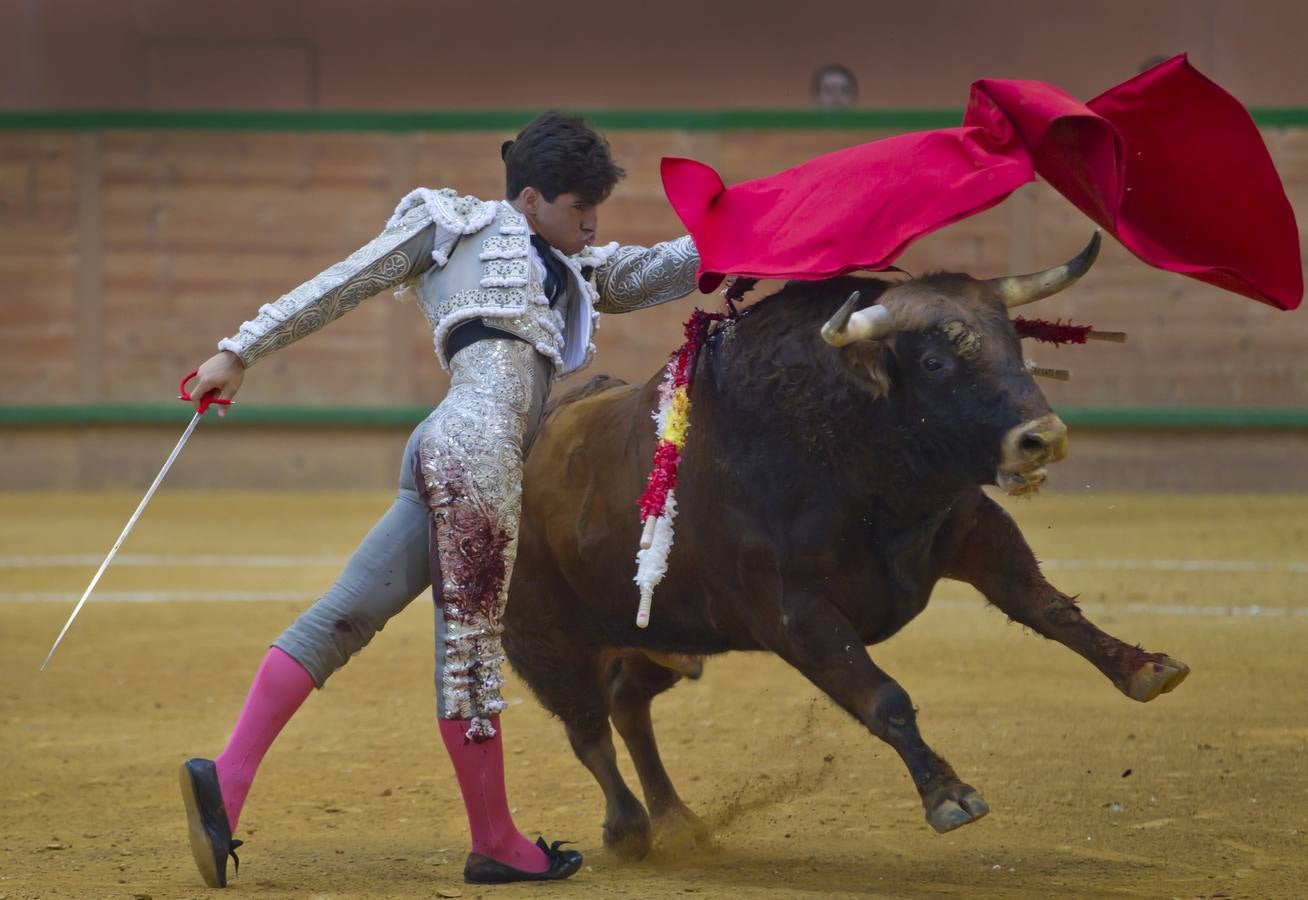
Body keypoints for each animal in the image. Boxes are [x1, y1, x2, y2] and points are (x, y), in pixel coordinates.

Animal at [502, 235, 1198, 863]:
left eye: (1015, 343)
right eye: (934, 363)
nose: (1043, 439)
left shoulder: (974, 529)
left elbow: (1049, 607)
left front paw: (1143, 667)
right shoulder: (796, 614)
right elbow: (882, 695)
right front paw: (948, 795)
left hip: (673, 633)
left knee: (626, 702)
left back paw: (676, 819)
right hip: (544, 640)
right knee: (588, 731)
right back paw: (628, 829)